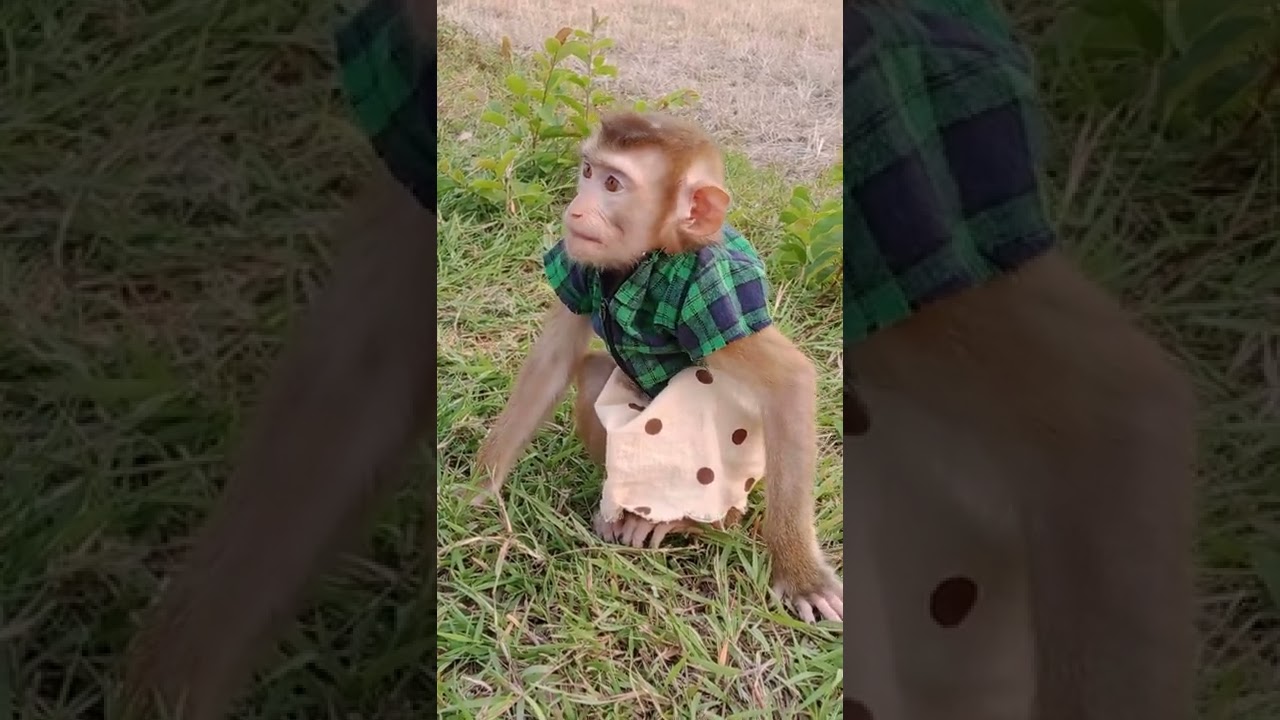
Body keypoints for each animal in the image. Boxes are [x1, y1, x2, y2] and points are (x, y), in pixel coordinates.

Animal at [472, 110, 844, 625]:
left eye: (613, 184)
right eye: (588, 172)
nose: (576, 210)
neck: (647, 261)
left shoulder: (716, 286)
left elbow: (789, 382)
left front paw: (800, 574)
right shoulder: (577, 264)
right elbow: (552, 363)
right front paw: (479, 489)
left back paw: (681, 520)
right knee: (595, 377)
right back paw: (621, 514)